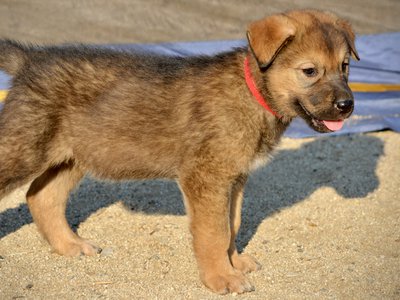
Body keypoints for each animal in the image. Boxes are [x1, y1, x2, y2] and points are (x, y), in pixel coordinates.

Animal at [0, 9, 358, 296]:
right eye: (309, 71)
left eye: (344, 67)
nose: (348, 105)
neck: (252, 90)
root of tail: (30, 60)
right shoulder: (206, 178)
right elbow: (214, 232)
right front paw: (220, 278)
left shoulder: (233, 178)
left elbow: (232, 224)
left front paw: (233, 263)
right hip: (25, 149)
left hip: (75, 156)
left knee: (41, 196)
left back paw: (71, 245)